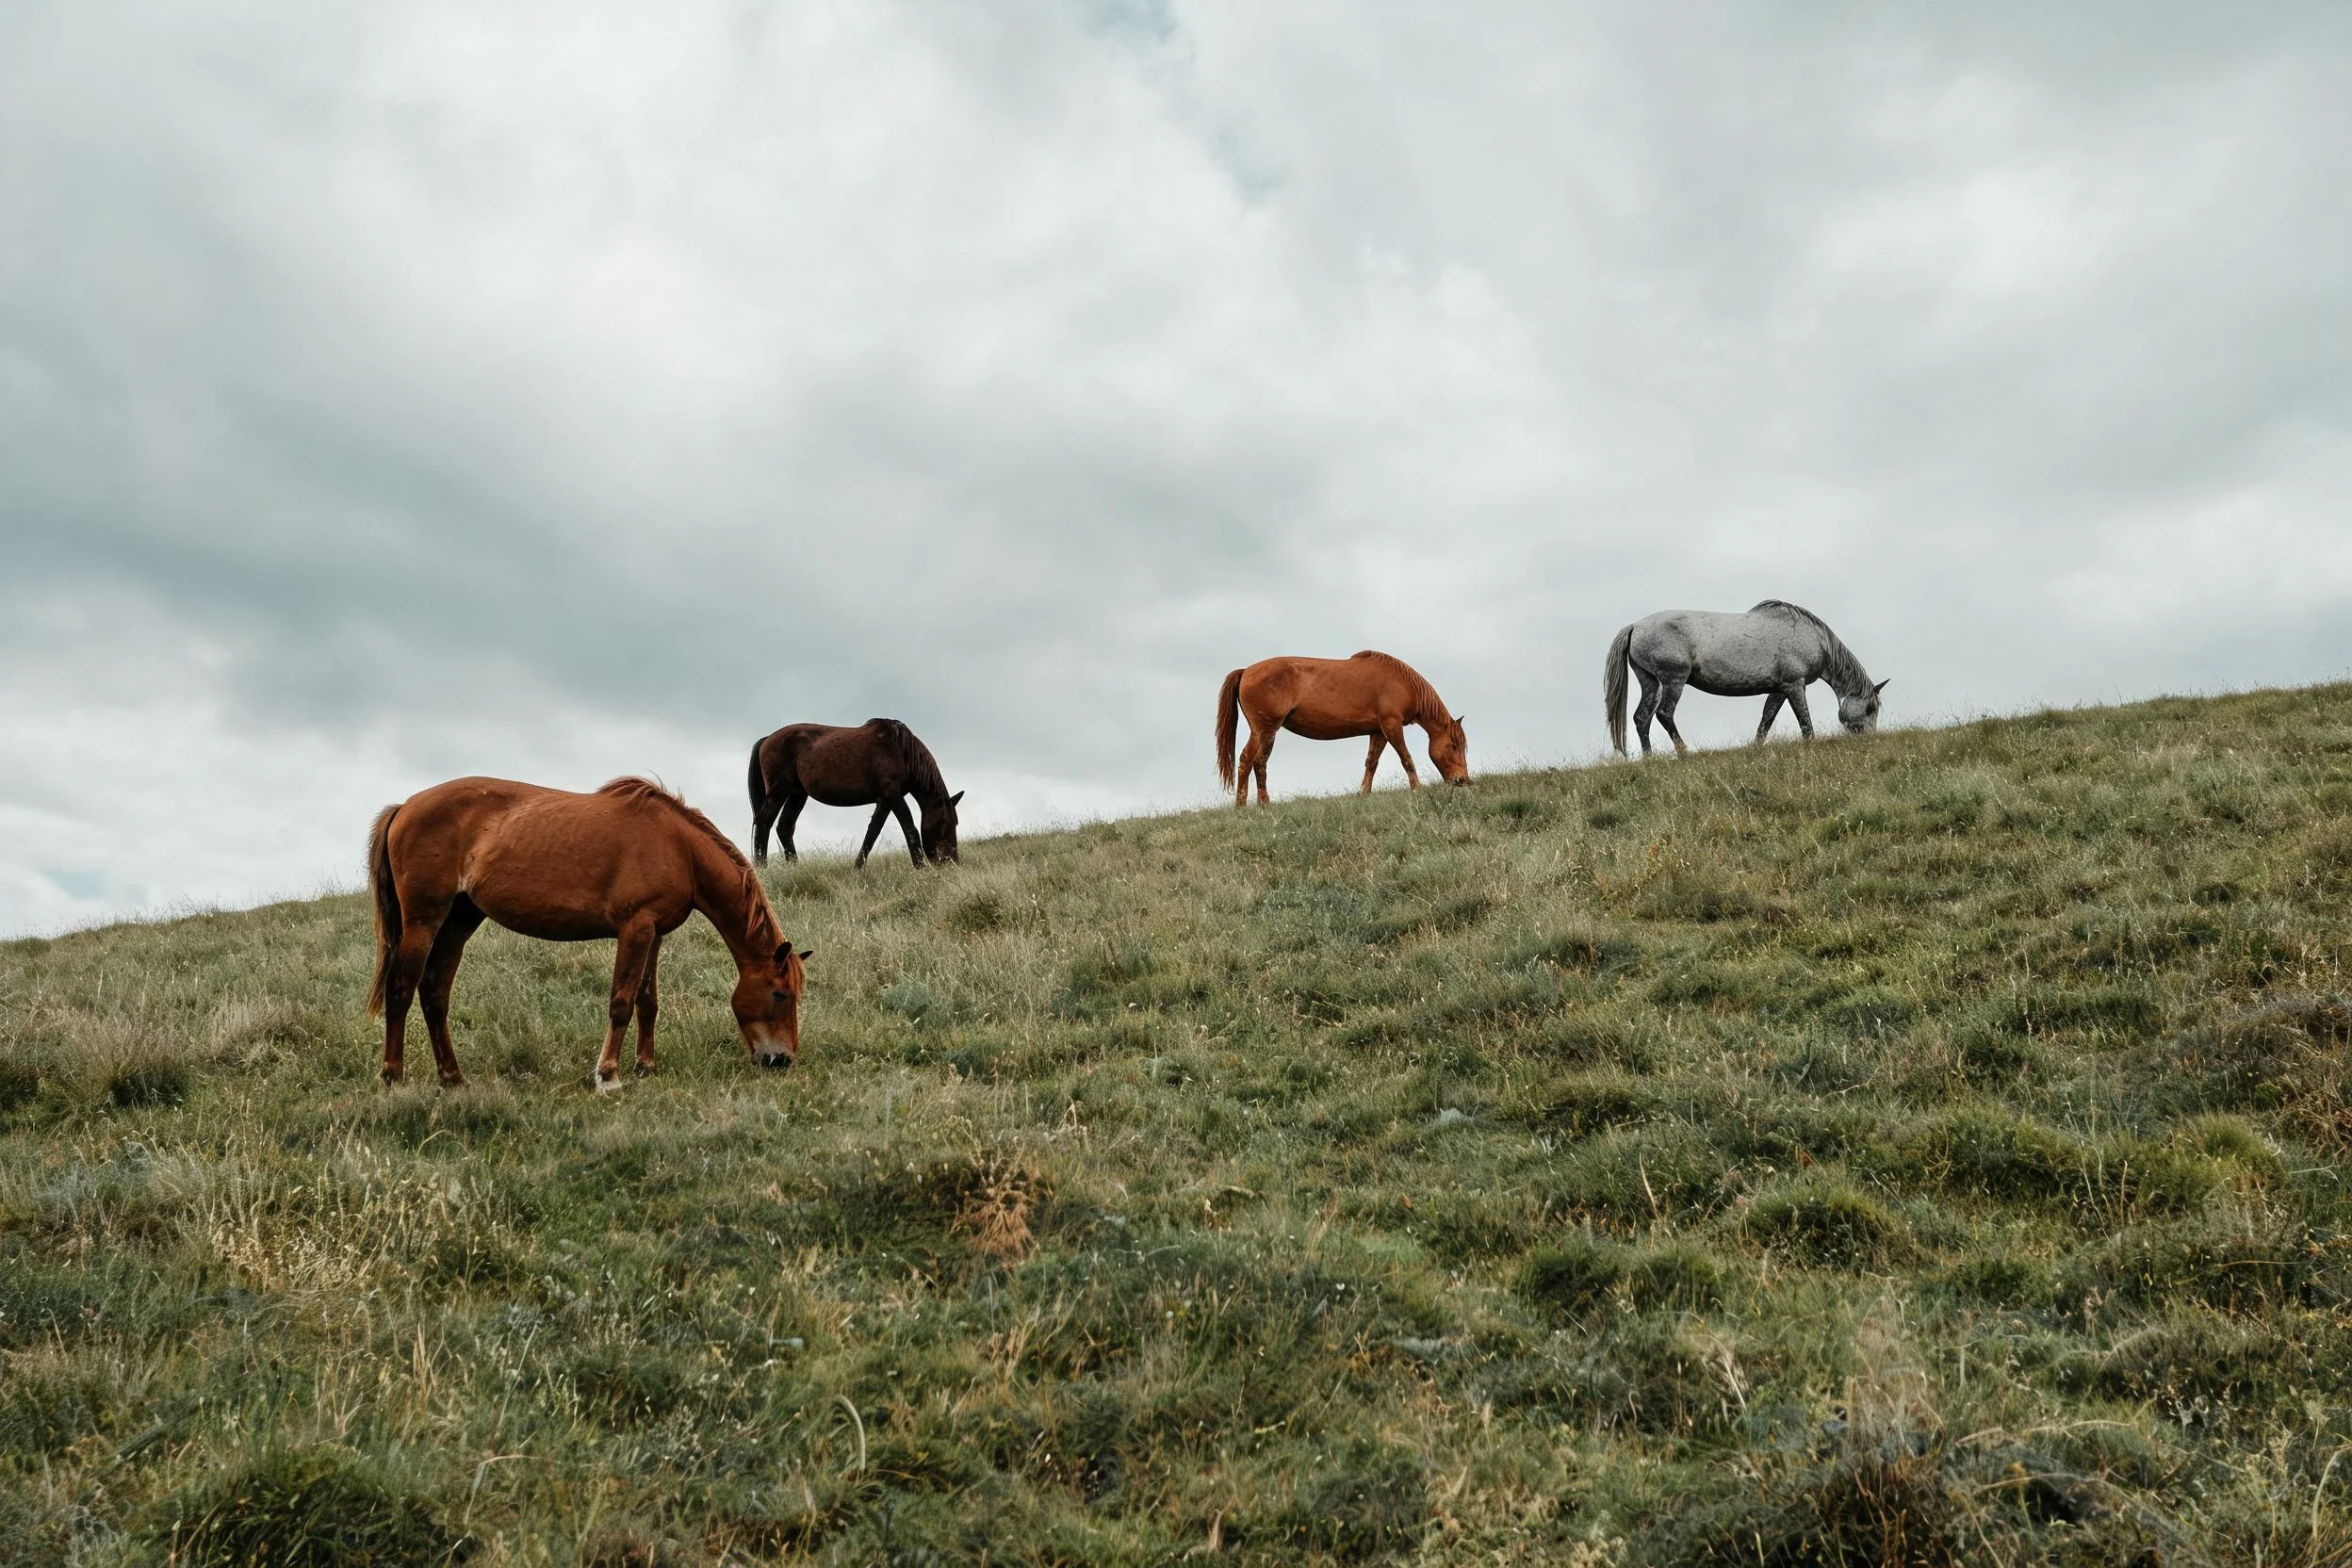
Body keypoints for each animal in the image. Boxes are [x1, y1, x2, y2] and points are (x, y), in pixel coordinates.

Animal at [366, 776, 812, 1091]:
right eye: (780, 994)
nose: (782, 1060)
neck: (679, 848)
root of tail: (405, 808)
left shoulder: (654, 933)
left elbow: (647, 1002)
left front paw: (645, 1066)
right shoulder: (635, 929)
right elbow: (622, 1001)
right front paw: (608, 1075)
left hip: (459, 922)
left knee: (435, 993)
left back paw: (453, 1078)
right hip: (424, 921)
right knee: (402, 989)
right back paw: (393, 1076)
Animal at [749, 718, 962, 868]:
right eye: (946, 822)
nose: (952, 861)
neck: (903, 753)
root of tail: (766, 739)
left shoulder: (885, 800)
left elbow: (873, 831)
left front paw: (858, 867)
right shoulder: (892, 796)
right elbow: (907, 829)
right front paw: (920, 866)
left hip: (797, 794)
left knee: (784, 827)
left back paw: (795, 867)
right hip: (778, 790)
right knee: (764, 821)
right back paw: (762, 868)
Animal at [1216, 651, 1470, 807]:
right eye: (1454, 745)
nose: (1462, 780)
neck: (1402, 684)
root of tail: (1246, 671)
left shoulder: (1378, 732)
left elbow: (1371, 763)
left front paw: (1363, 793)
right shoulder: (1391, 725)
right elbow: (1406, 759)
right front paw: (1416, 790)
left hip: (1268, 732)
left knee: (1258, 763)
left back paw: (1263, 804)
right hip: (1263, 730)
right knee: (1247, 760)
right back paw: (1243, 806)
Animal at [1604, 600, 1887, 757]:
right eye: (1870, 708)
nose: (1871, 739)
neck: (1814, 639)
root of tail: (1635, 626)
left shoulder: (1779, 689)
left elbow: (1766, 720)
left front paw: (1756, 748)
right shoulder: (1795, 685)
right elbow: (1805, 721)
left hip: (1650, 682)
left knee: (1642, 718)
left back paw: (1649, 758)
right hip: (1674, 680)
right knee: (1664, 714)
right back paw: (1683, 753)